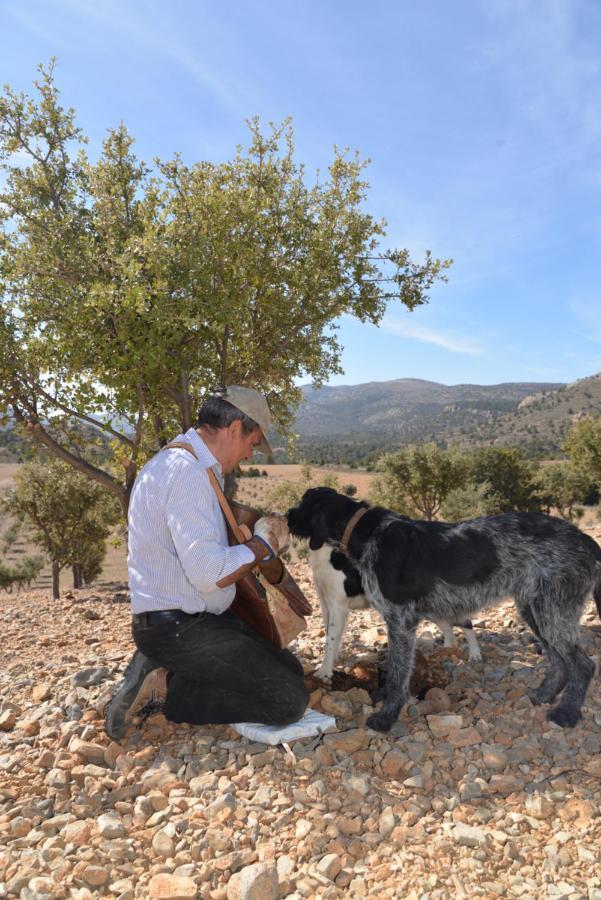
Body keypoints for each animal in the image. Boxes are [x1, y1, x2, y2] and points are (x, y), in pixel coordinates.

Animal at [308, 540, 480, 684]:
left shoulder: (338, 606)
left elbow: (330, 640)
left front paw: (324, 672)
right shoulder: (326, 604)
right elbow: (331, 637)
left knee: (467, 624)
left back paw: (475, 655)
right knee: (447, 628)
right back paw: (447, 649)